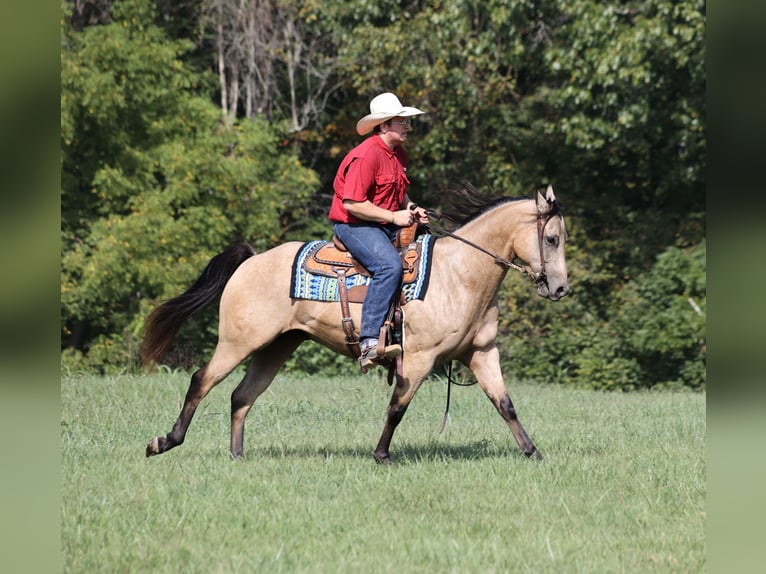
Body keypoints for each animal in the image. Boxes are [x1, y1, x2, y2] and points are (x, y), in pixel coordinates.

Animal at [142, 183, 569, 464]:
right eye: (551, 239)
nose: (561, 288)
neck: (460, 274)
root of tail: (251, 259)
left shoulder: (481, 353)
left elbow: (505, 404)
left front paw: (533, 452)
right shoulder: (418, 358)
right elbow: (397, 406)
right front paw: (381, 454)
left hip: (277, 346)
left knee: (241, 396)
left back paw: (237, 456)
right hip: (238, 342)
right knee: (202, 380)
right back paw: (164, 442)